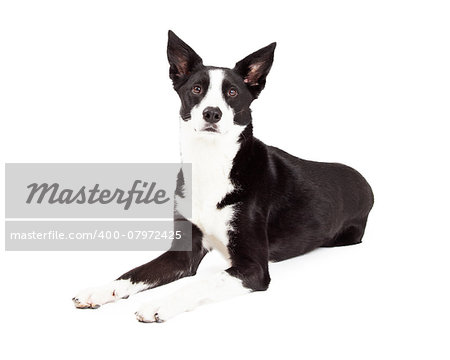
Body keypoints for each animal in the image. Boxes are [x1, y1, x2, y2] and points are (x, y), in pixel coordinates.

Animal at [74, 31, 374, 324]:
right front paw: (99, 290)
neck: (211, 163)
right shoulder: (182, 254)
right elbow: (136, 272)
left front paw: (158, 304)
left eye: (232, 92)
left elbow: (200, 282)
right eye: (196, 89)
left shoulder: (253, 267)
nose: (212, 113)